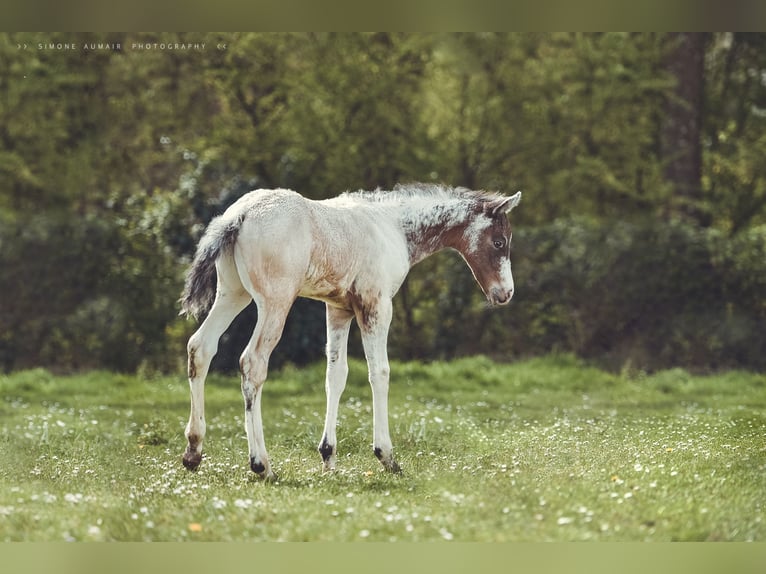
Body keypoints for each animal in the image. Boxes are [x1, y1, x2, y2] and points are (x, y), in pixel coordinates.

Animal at [179, 183, 521, 480]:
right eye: (499, 241)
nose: (505, 294)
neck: (394, 227)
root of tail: (239, 215)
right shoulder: (376, 304)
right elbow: (379, 372)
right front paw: (387, 457)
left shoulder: (338, 310)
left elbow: (336, 375)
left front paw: (328, 456)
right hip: (275, 302)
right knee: (252, 363)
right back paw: (262, 465)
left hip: (233, 294)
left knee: (200, 347)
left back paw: (193, 451)